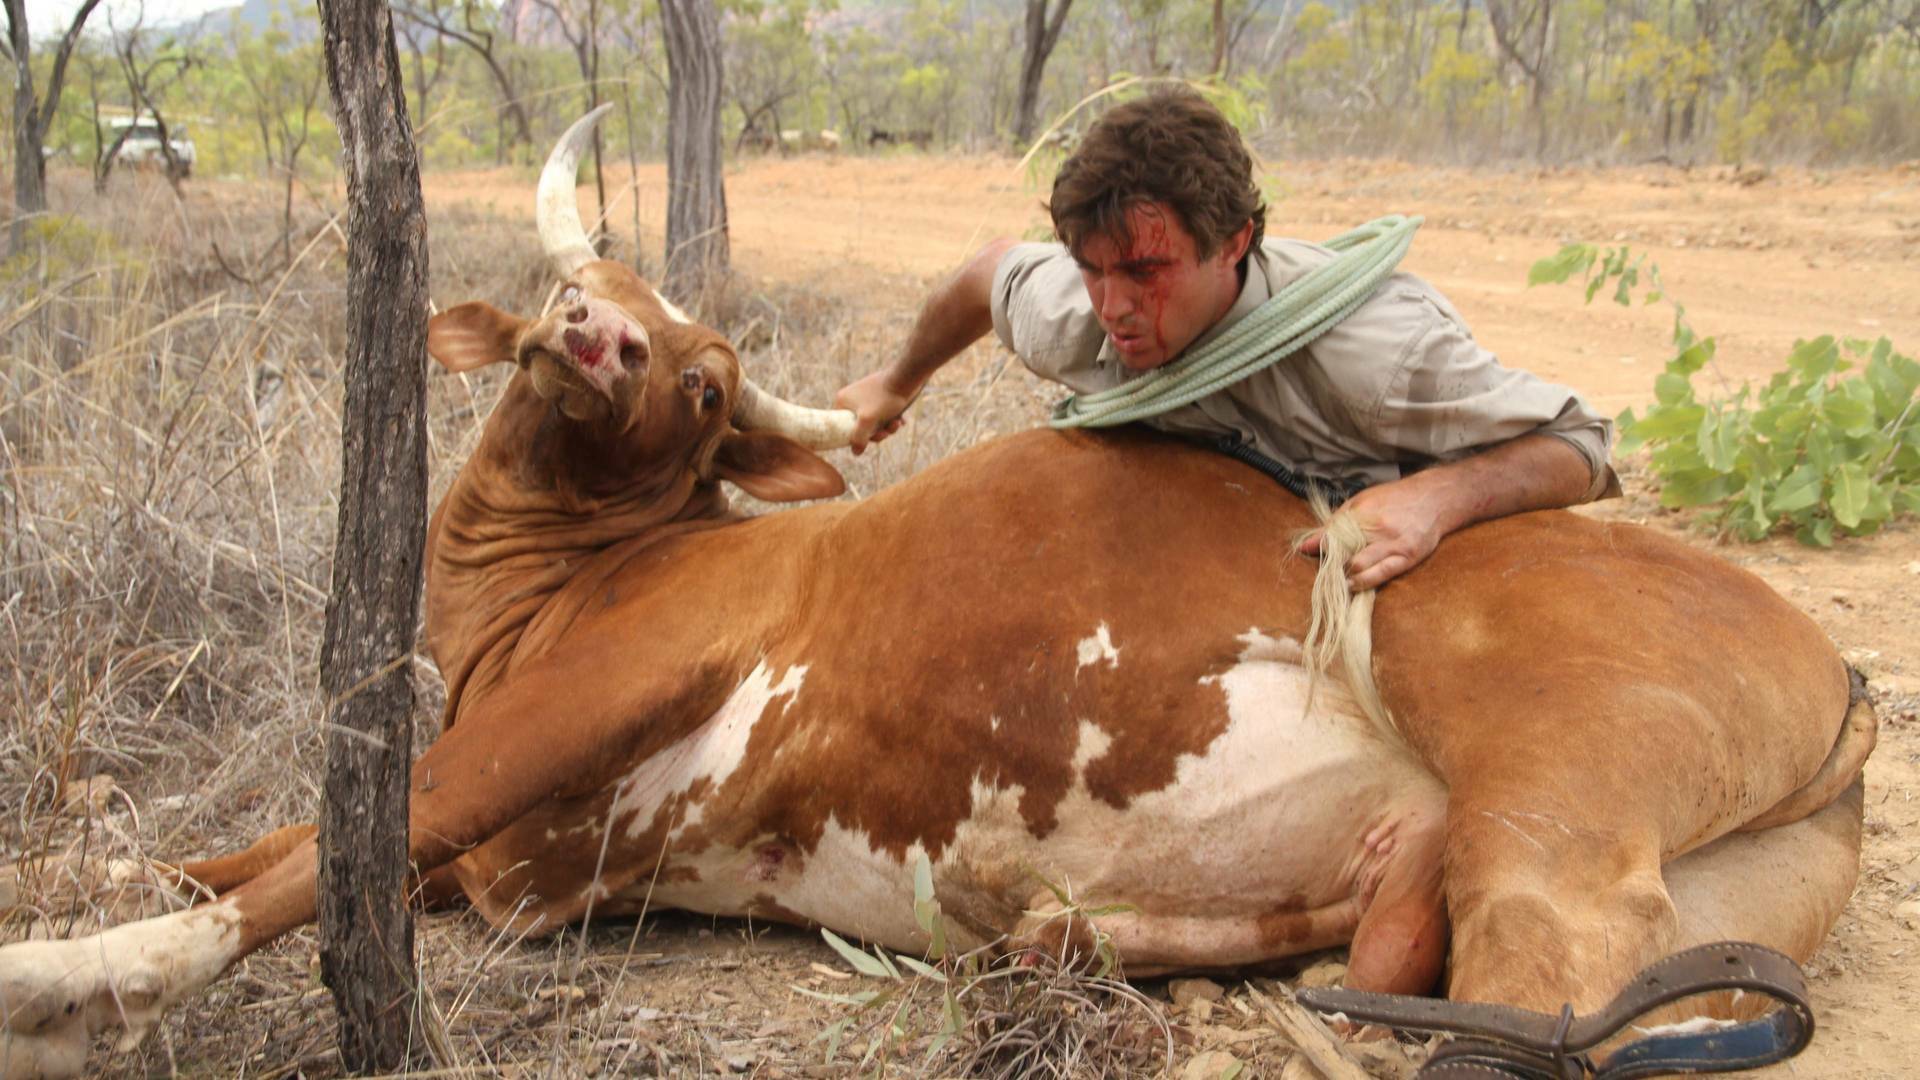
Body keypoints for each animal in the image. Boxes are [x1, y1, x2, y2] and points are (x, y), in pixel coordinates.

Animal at [0, 109, 1866, 1076]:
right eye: (597, 289)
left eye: (702, 380)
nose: (598, 337)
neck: (533, 601)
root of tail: (1838, 678)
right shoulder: (498, 856)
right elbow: (252, 838)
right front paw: (104, 881)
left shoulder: (561, 722)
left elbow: (312, 858)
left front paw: (72, 983)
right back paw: (1066, 924)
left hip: (1534, 784)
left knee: (1541, 982)